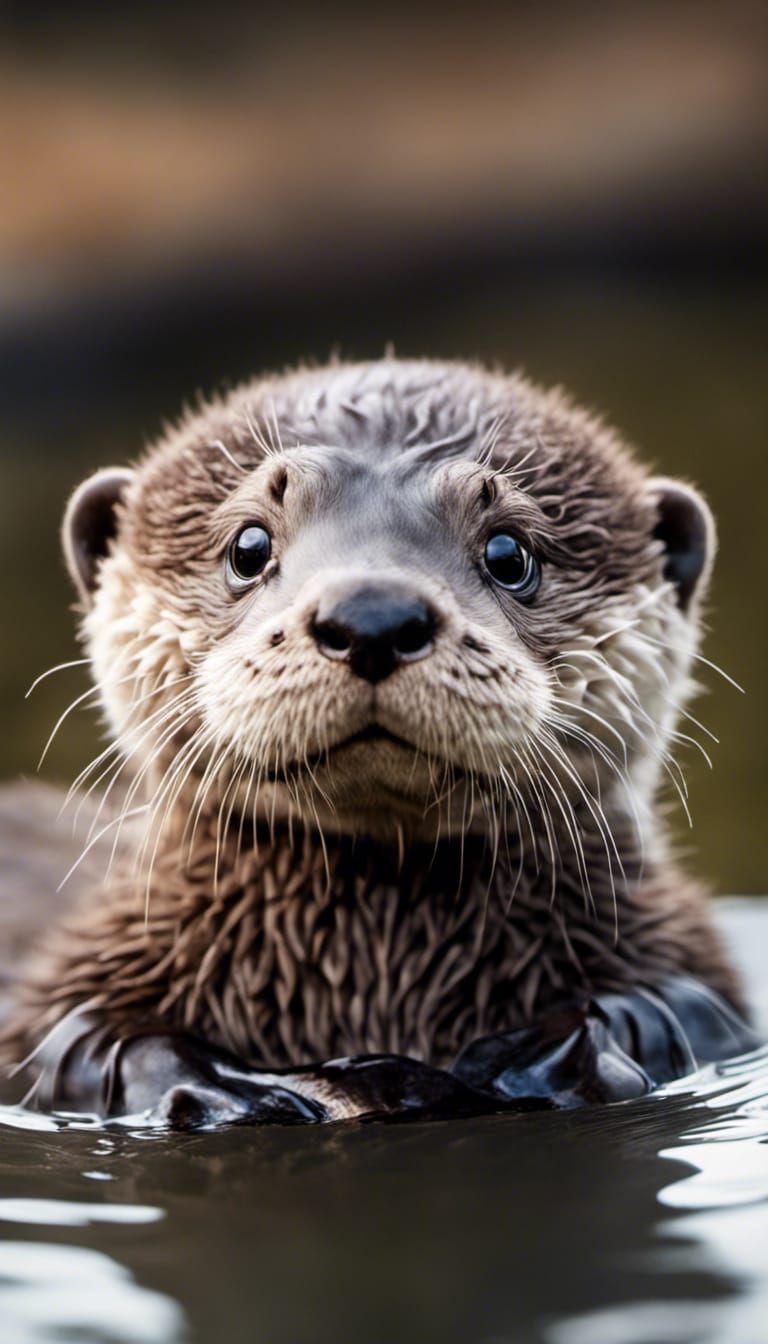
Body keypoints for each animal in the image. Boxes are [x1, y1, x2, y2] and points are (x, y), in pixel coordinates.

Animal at [0, 358, 756, 1127]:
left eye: (509, 552)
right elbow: (100, 1049)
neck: (377, 976)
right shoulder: (56, 1012)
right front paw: (236, 1087)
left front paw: (535, 1054)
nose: (372, 612)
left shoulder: (698, 983)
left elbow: (659, 1013)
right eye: (248, 546)